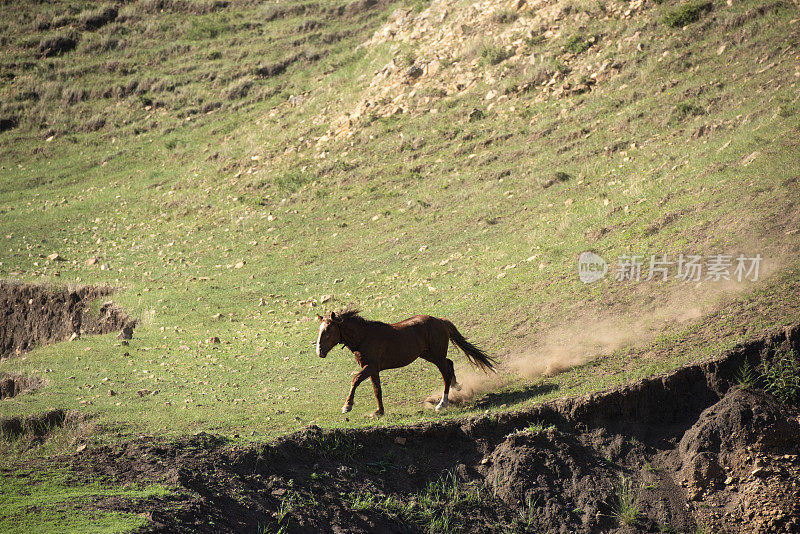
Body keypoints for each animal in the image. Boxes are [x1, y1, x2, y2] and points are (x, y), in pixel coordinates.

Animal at [314, 310, 494, 418]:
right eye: (320, 330)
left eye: (328, 330)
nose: (320, 352)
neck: (364, 337)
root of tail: (440, 321)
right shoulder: (373, 369)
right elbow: (377, 390)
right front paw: (379, 412)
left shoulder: (370, 367)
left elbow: (355, 380)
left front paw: (347, 406)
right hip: (428, 354)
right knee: (449, 365)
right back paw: (457, 387)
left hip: (436, 355)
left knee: (445, 374)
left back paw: (442, 404)